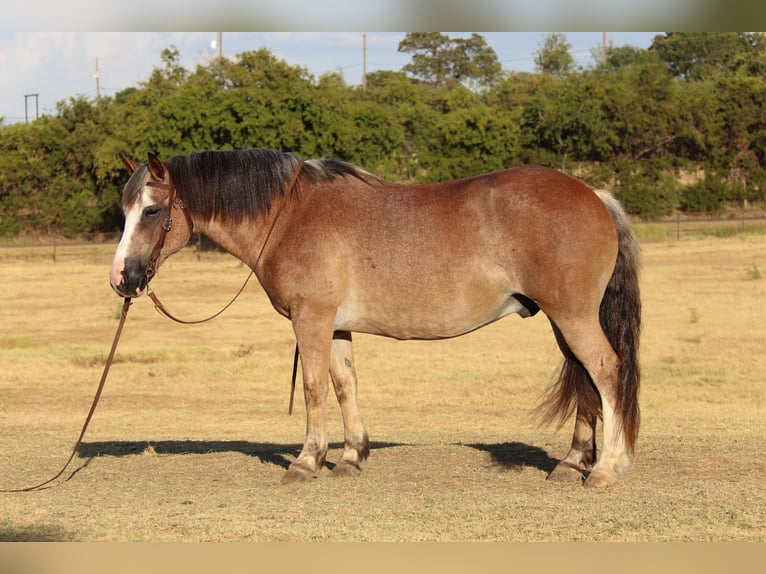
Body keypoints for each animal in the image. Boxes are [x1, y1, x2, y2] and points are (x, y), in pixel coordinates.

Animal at [109, 146, 640, 488]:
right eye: (124, 209)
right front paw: (350, 457)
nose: (121, 278)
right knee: (585, 381)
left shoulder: (312, 321)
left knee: (605, 371)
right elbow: (345, 384)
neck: (289, 216)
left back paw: (606, 468)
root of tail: (594, 194)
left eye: (152, 211)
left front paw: (307, 461)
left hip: (572, 317)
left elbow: (314, 388)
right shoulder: (336, 325)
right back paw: (572, 463)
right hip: (562, 320)